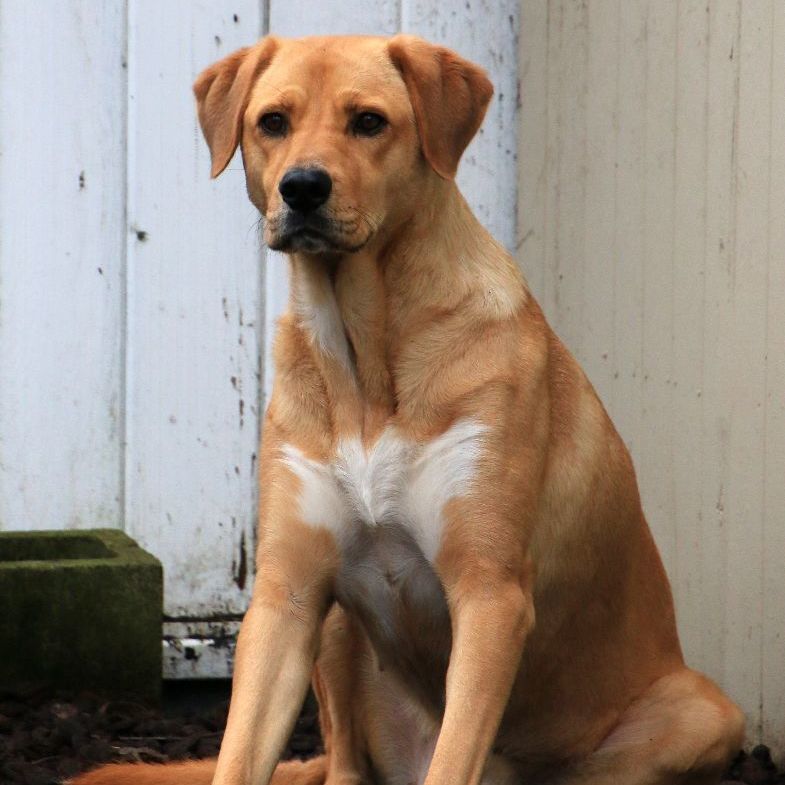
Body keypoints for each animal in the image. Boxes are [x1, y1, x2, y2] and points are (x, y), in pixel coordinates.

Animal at [76, 33, 744, 784]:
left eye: (369, 121)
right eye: (272, 121)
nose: (301, 186)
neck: (365, 356)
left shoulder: (489, 592)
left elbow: (456, 749)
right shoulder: (286, 594)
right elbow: (240, 751)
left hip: (700, 715)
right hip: (338, 631)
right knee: (343, 760)